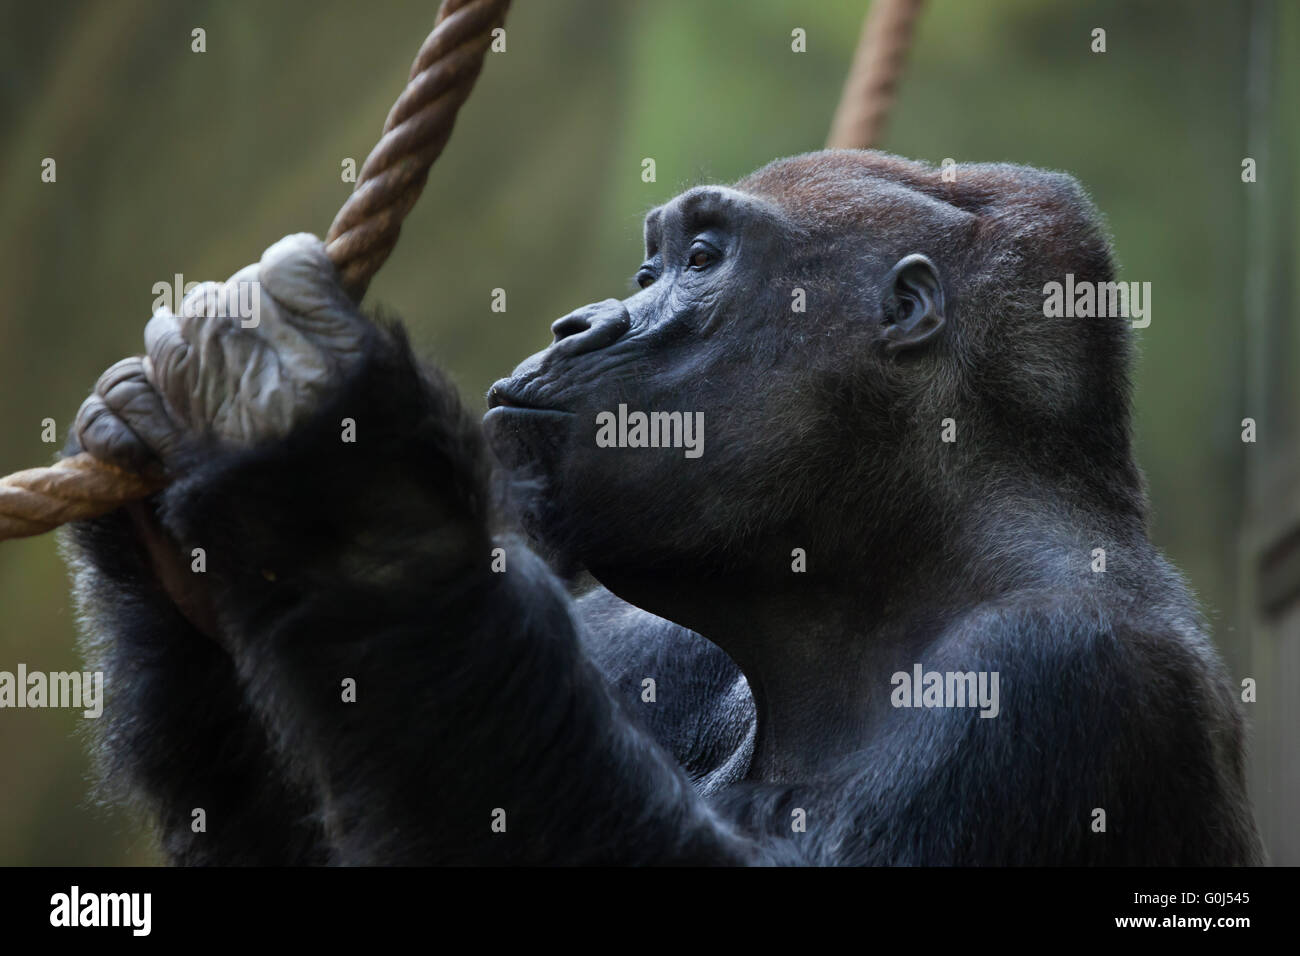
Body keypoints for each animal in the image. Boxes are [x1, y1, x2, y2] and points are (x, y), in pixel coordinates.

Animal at [61, 149, 1258, 868]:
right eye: (650, 265)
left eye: (701, 258)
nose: (580, 322)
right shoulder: (660, 638)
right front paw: (170, 547)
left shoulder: (1054, 669)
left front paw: (343, 478)